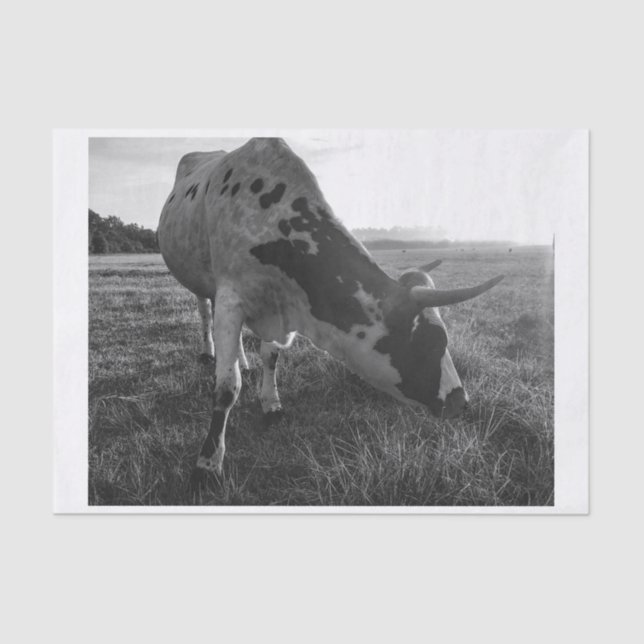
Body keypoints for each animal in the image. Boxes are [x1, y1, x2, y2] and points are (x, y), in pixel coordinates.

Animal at [157, 138, 503, 486]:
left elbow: (271, 358)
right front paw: (208, 463)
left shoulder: (276, 304)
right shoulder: (232, 298)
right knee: (205, 312)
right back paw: (209, 351)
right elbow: (227, 387)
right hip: (200, 281)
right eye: (432, 342)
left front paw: (270, 402)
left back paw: (242, 358)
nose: (461, 401)